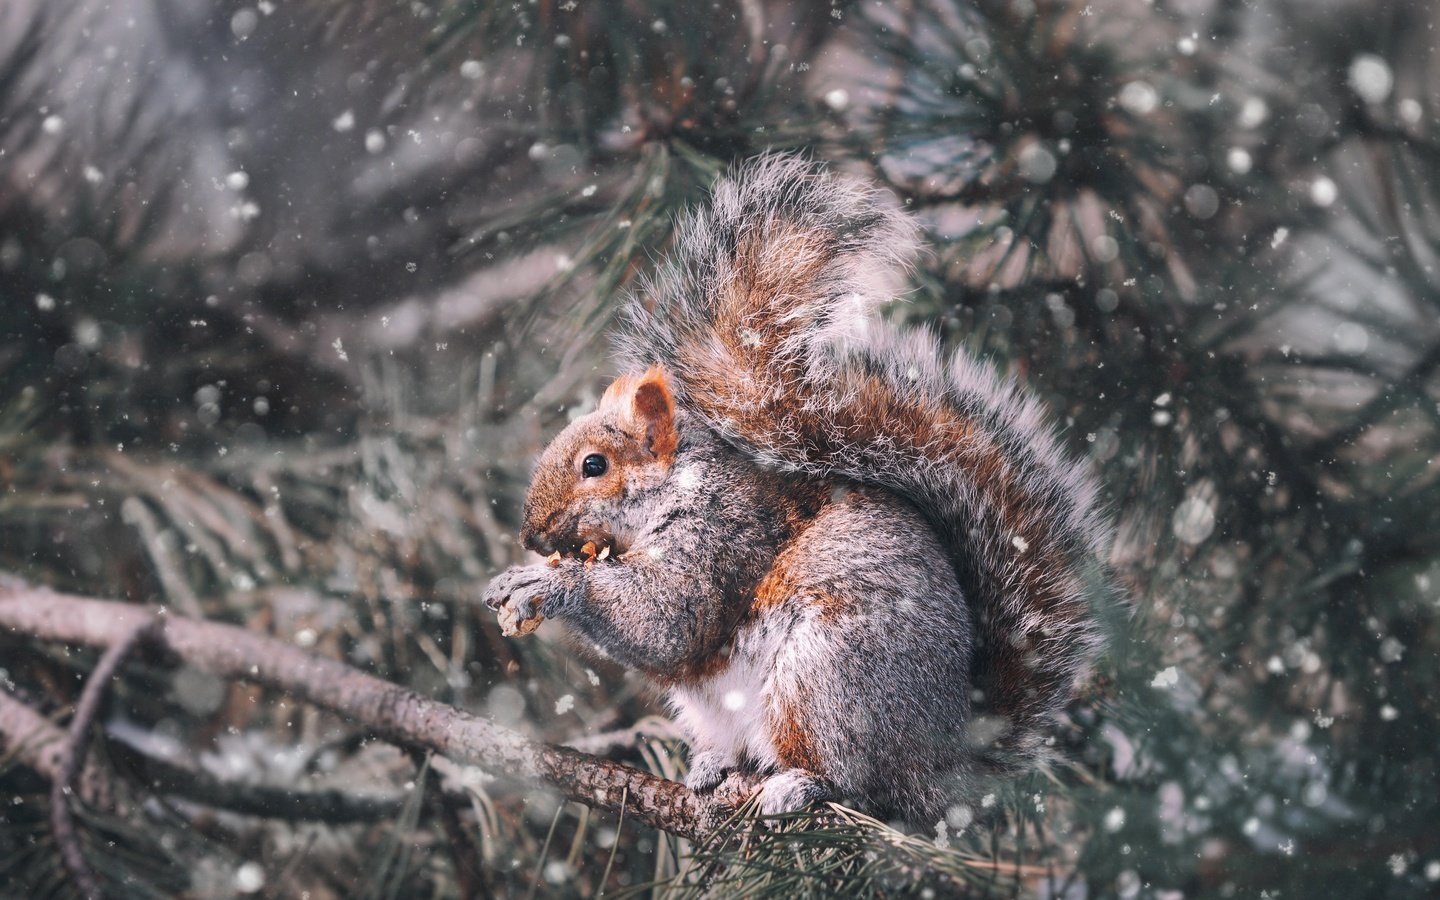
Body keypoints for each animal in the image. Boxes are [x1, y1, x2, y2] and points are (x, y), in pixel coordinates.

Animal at [486, 156, 1111, 829]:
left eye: (594, 465)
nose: (530, 535)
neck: (676, 489)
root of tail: (946, 764)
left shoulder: (722, 533)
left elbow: (669, 619)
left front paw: (550, 584)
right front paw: (515, 577)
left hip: (825, 680)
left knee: (859, 784)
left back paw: (798, 786)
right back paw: (713, 766)